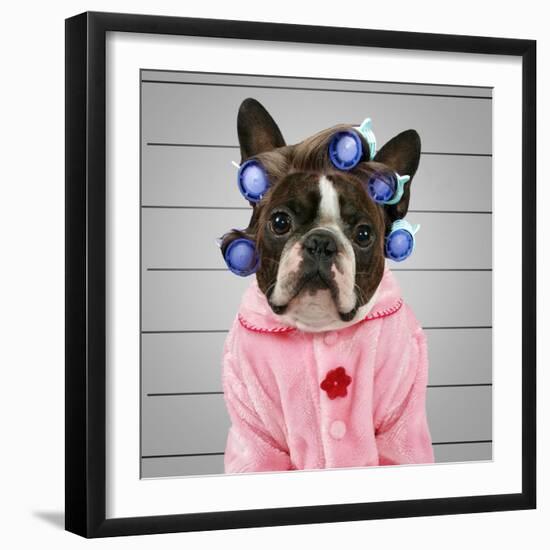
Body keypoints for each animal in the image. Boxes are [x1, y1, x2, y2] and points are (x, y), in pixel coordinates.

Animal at [220, 98, 436, 474]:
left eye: (363, 234)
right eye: (280, 221)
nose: (321, 242)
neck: (318, 327)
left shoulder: (402, 421)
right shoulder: (255, 435)